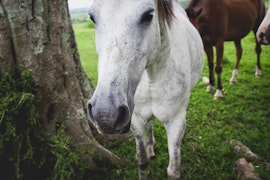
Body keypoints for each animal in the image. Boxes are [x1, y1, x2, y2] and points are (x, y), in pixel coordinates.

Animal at [87, 0, 204, 179]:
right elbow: (142, 161)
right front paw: (146, 152)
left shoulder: (176, 121)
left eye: (148, 15)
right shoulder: (136, 118)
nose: (105, 114)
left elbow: (174, 171)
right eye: (92, 17)